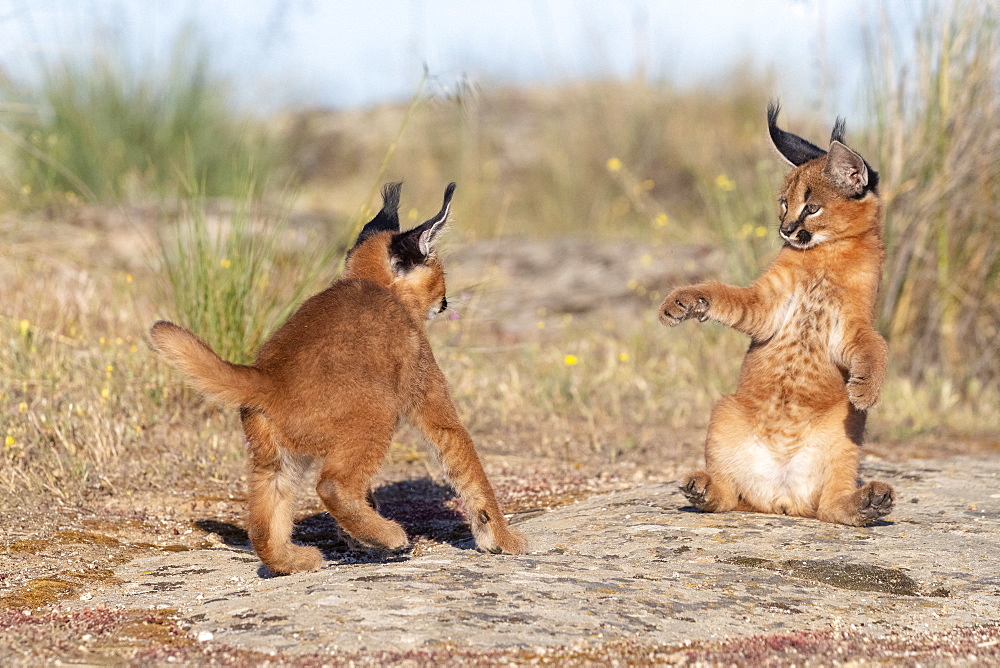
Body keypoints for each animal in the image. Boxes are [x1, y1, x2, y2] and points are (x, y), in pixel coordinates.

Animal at [148, 183, 528, 576]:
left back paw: (296, 559)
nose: (446, 301)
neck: (374, 284)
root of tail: (269, 377)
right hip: (376, 412)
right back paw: (388, 536)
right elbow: (465, 459)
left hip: (275, 457)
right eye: (440, 274)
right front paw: (502, 538)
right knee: (332, 485)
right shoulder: (428, 390)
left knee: (263, 522)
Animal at [660, 103, 896, 528]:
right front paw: (684, 301)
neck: (825, 256)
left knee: (830, 506)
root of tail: (781, 498)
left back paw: (869, 502)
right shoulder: (766, 305)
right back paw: (702, 488)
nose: (786, 229)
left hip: (848, 426)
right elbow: (722, 293)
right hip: (725, 410)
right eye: (784, 202)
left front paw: (866, 388)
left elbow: (877, 344)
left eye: (812, 206)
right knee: (728, 496)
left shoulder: (851, 325)